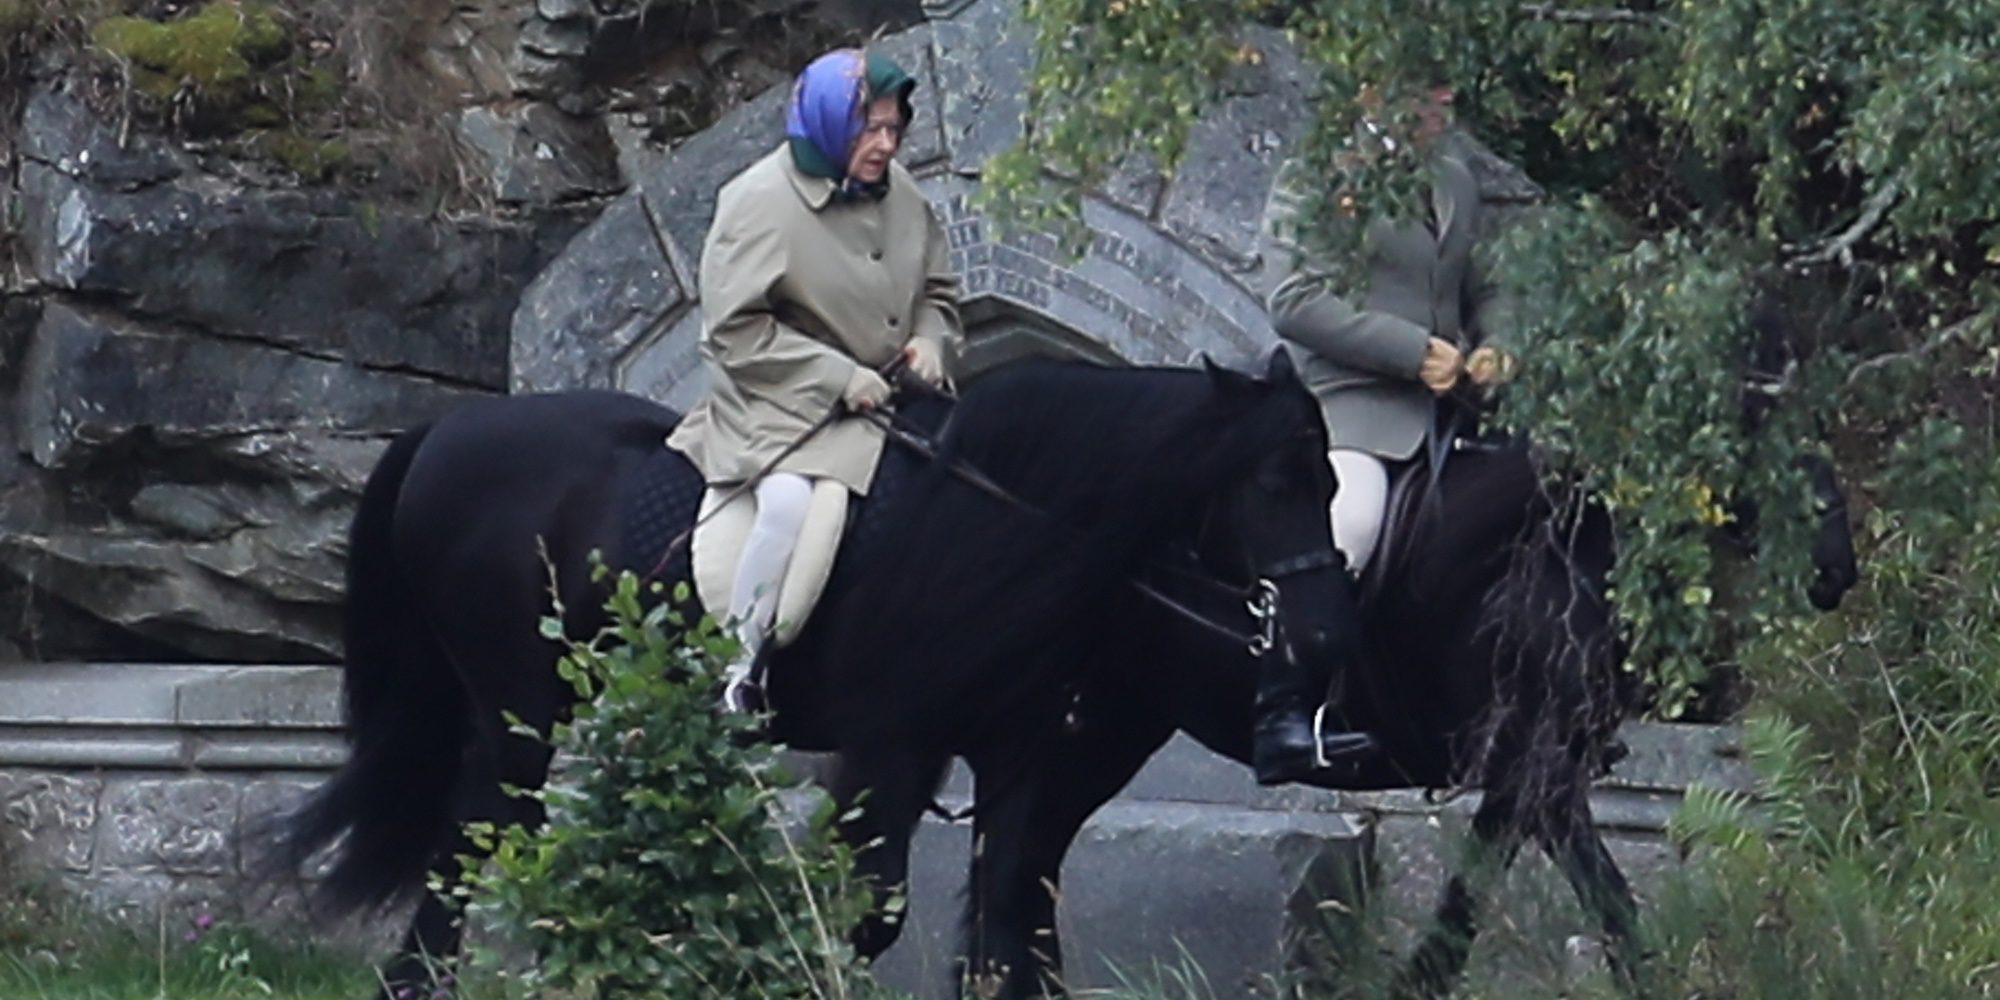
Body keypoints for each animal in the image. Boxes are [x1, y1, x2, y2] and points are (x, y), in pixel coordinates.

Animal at [270, 352, 1360, 992]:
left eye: (1328, 476)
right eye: (1276, 479)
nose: (1320, 636)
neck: (1008, 521)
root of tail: (444, 433)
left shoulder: (1015, 764)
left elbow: (1007, 916)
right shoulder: (894, 747)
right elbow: (872, 912)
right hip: (516, 717)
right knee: (465, 851)